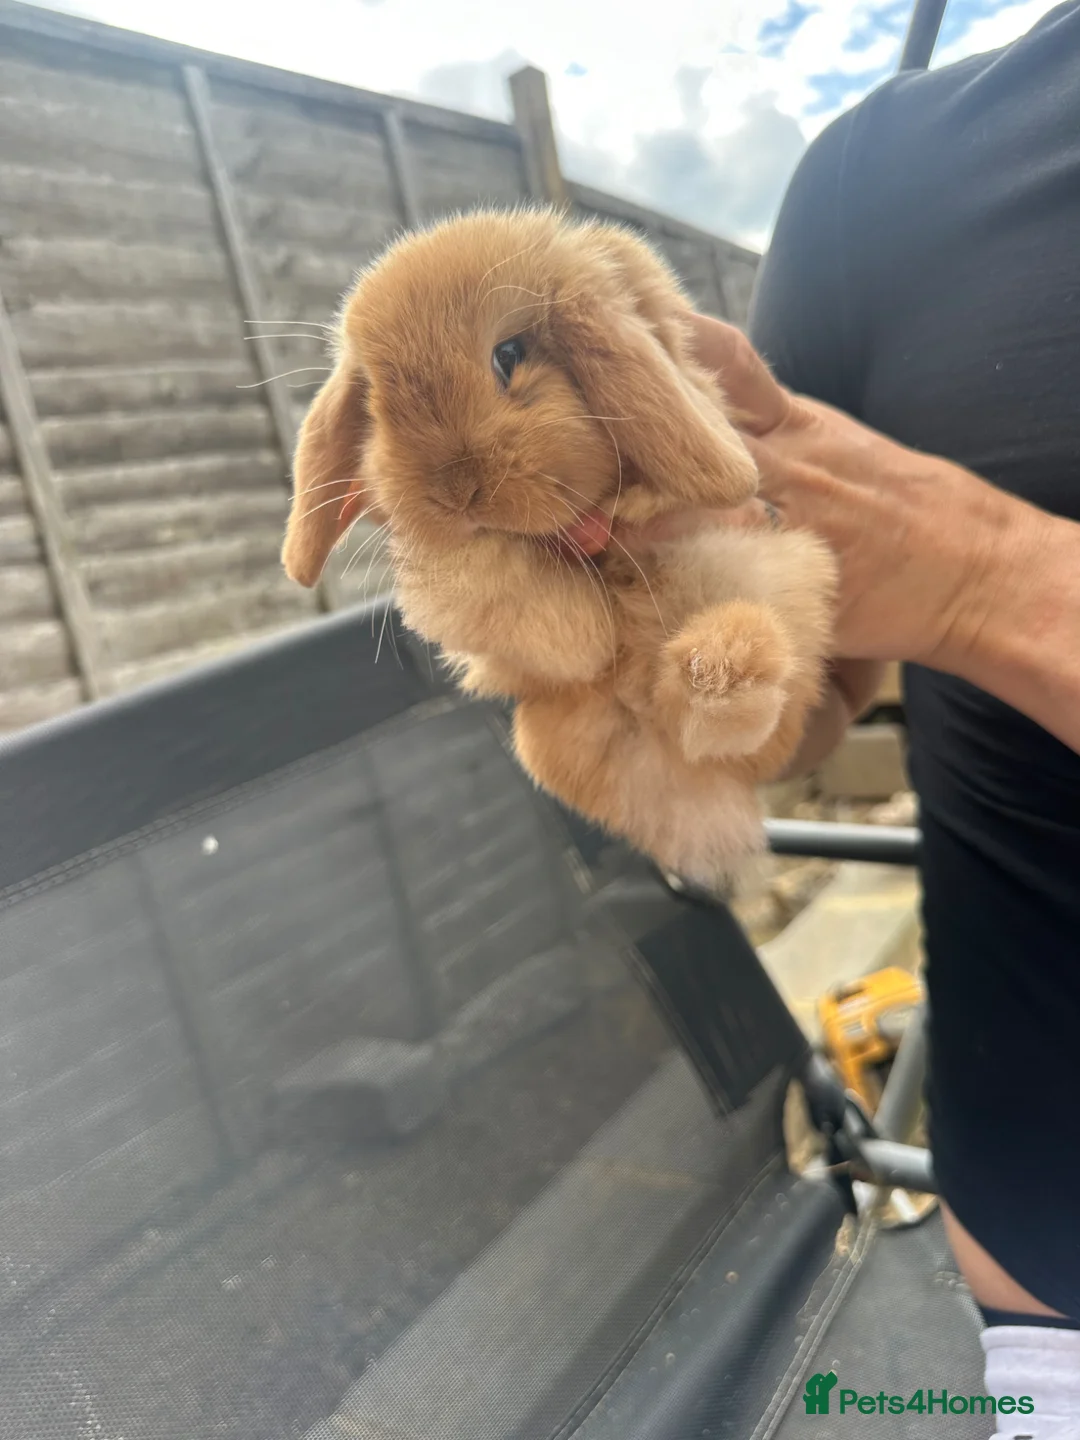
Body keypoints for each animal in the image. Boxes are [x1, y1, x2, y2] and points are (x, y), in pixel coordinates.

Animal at [281, 207, 836, 886]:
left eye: (509, 355)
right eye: (373, 401)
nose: (455, 492)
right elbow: (539, 619)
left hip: (775, 584)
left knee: (735, 722)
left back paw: (724, 663)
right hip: (544, 736)